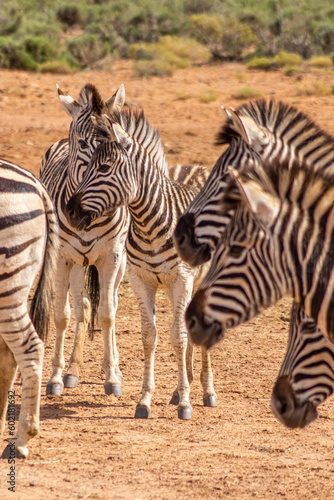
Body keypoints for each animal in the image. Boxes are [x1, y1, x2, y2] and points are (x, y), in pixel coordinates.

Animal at [64, 110, 217, 422]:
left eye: (104, 167)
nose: (70, 211)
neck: (149, 225)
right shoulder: (140, 279)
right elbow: (149, 337)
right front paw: (146, 399)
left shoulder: (180, 279)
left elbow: (178, 337)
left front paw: (186, 403)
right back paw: (182, 387)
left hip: (199, 280)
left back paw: (207, 391)